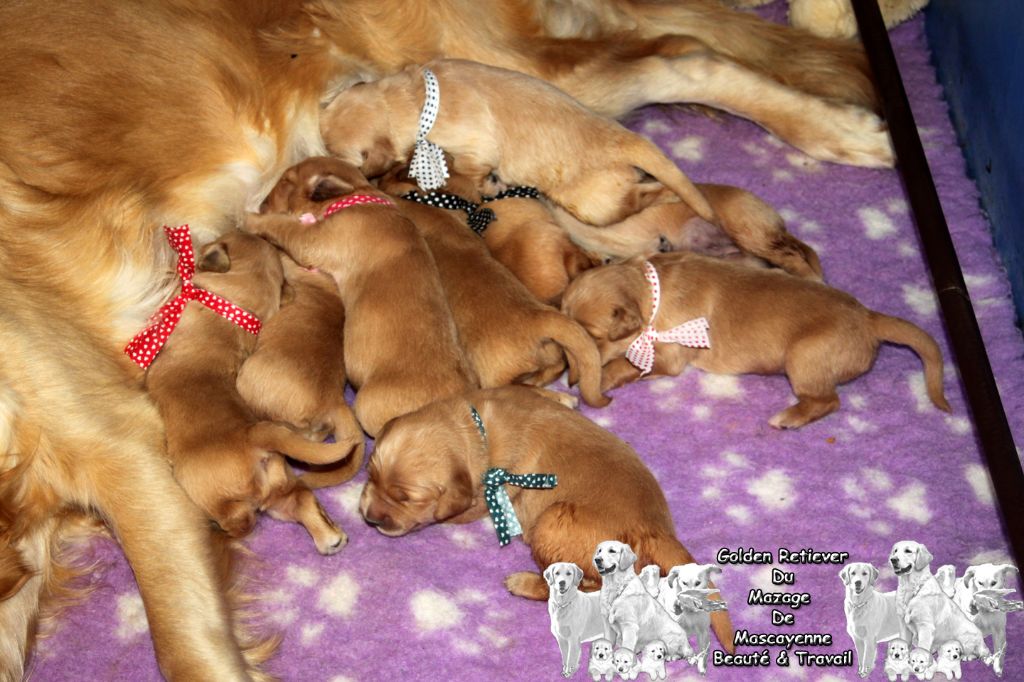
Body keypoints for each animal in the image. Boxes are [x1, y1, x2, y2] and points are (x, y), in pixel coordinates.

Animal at [145, 231, 351, 554]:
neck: (235, 306)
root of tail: (254, 436)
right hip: (278, 491)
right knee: (301, 499)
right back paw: (331, 538)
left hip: (211, 493)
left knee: (242, 522)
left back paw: (218, 530)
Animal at [246, 157, 479, 436]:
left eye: (286, 182)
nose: (261, 204)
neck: (358, 194)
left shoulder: (311, 239)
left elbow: (282, 225)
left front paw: (251, 219)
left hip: (367, 406)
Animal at [357, 385, 733, 652]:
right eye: (371, 475)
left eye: (407, 499)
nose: (370, 518)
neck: (475, 426)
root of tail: (653, 528)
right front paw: (566, 397)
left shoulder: (476, 499)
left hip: (553, 521)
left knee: (582, 584)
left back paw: (523, 583)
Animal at [562, 253, 951, 428]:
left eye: (592, 338)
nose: (568, 376)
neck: (649, 290)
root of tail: (869, 317)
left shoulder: (670, 355)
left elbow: (625, 363)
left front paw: (604, 377)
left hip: (804, 355)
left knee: (829, 400)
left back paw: (788, 417)